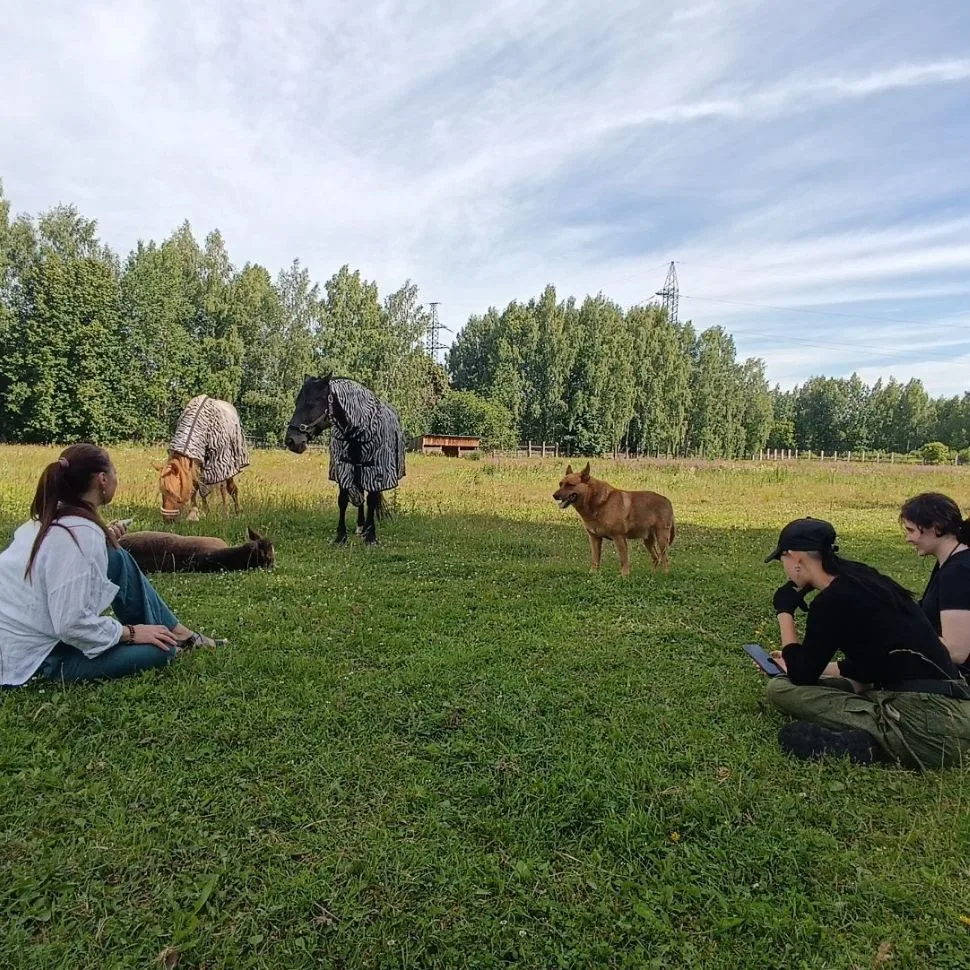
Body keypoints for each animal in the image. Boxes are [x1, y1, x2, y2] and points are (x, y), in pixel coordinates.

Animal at [284, 374, 405, 545]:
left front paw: (371, 537)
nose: (291, 441)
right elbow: (343, 500)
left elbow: (372, 500)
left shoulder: (375, 471)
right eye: (297, 402)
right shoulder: (343, 468)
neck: (360, 432)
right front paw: (340, 537)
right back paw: (360, 526)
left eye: (311, 403)